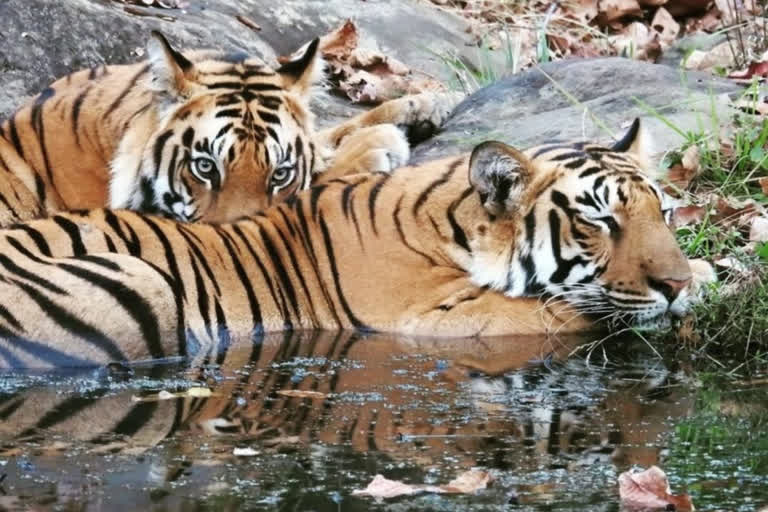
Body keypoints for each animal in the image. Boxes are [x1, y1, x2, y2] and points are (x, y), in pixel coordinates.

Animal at [0, 119, 712, 368]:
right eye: (600, 221)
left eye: (663, 212)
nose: (674, 285)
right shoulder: (434, 320)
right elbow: (566, 315)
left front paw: (704, 273)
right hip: (143, 281)